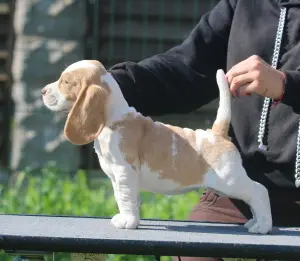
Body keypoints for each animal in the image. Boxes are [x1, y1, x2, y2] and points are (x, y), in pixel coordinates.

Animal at [41, 59, 274, 234]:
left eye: (65, 81)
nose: (42, 91)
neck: (114, 119)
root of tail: (216, 133)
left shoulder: (124, 172)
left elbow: (125, 199)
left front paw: (127, 222)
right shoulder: (119, 178)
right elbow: (125, 199)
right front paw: (130, 219)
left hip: (230, 180)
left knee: (259, 191)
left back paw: (262, 226)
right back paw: (254, 222)